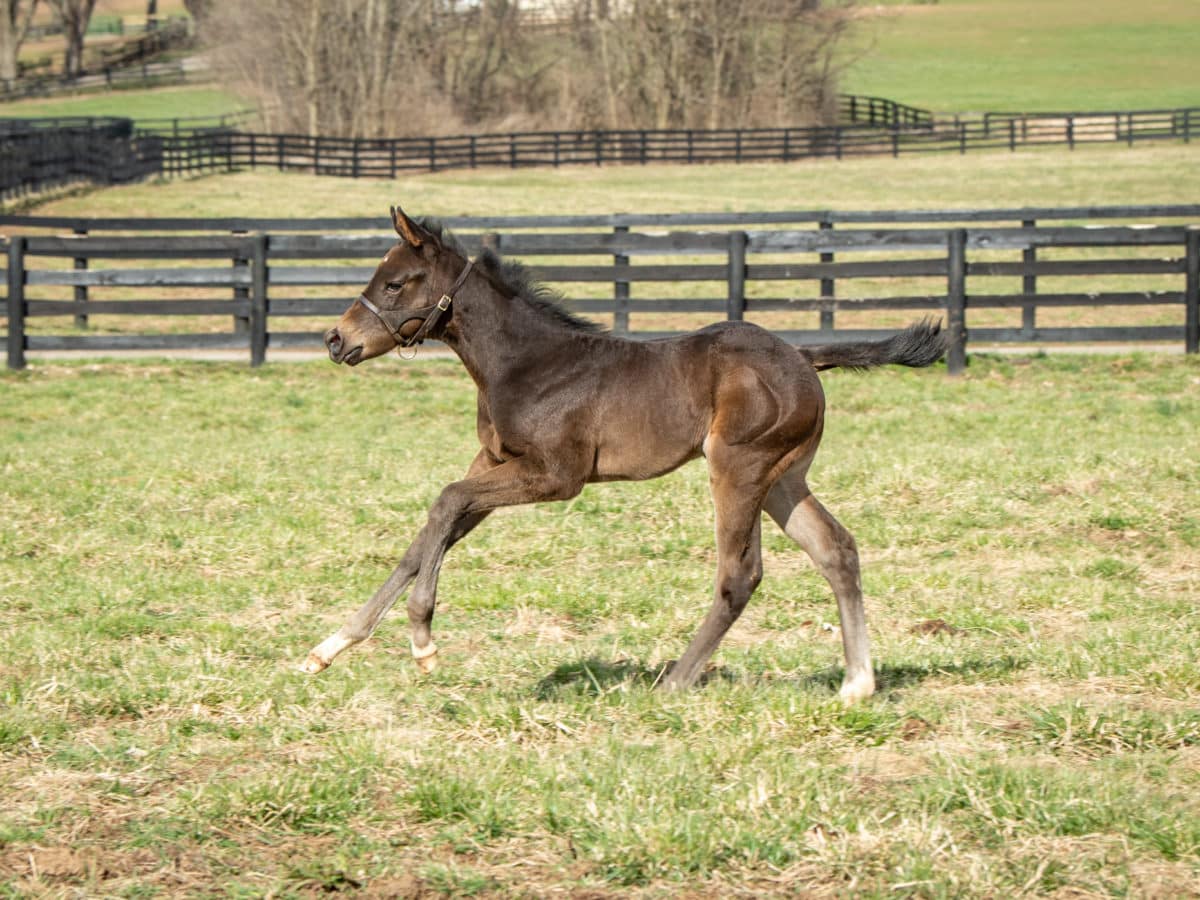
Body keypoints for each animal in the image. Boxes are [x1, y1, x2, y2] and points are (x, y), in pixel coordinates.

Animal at [302, 210, 945, 705]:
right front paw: (330, 647)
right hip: (783, 478)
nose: (336, 340)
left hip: (738, 468)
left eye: (394, 284)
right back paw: (857, 683)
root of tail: (803, 357)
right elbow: (428, 537)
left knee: (740, 572)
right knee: (836, 548)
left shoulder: (555, 476)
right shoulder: (493, 464)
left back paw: (675, 681)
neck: (524, 363)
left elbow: (444, 502)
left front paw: (423, 642)